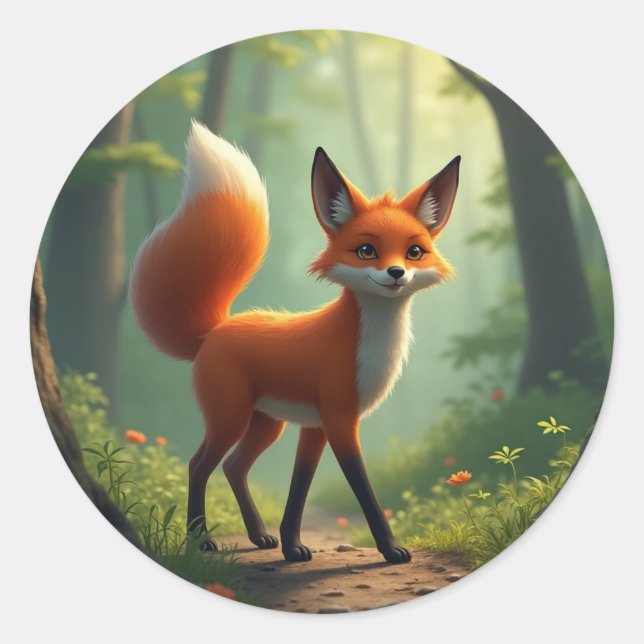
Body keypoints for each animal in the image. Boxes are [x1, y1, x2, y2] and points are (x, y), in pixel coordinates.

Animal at [130, 121, 460, 564]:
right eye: (366, 250)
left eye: (415, 251)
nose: (396, 273)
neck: (368, 346)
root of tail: (215, 329)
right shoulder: (339, 421)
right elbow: (363, 488)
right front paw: (390, 550)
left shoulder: (313, 427)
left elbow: (300, 486)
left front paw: (291, 546)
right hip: (230, 417)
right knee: (198, 465)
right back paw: (201, 541)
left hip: (268, 425)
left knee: (234, 467)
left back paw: (259, 537)